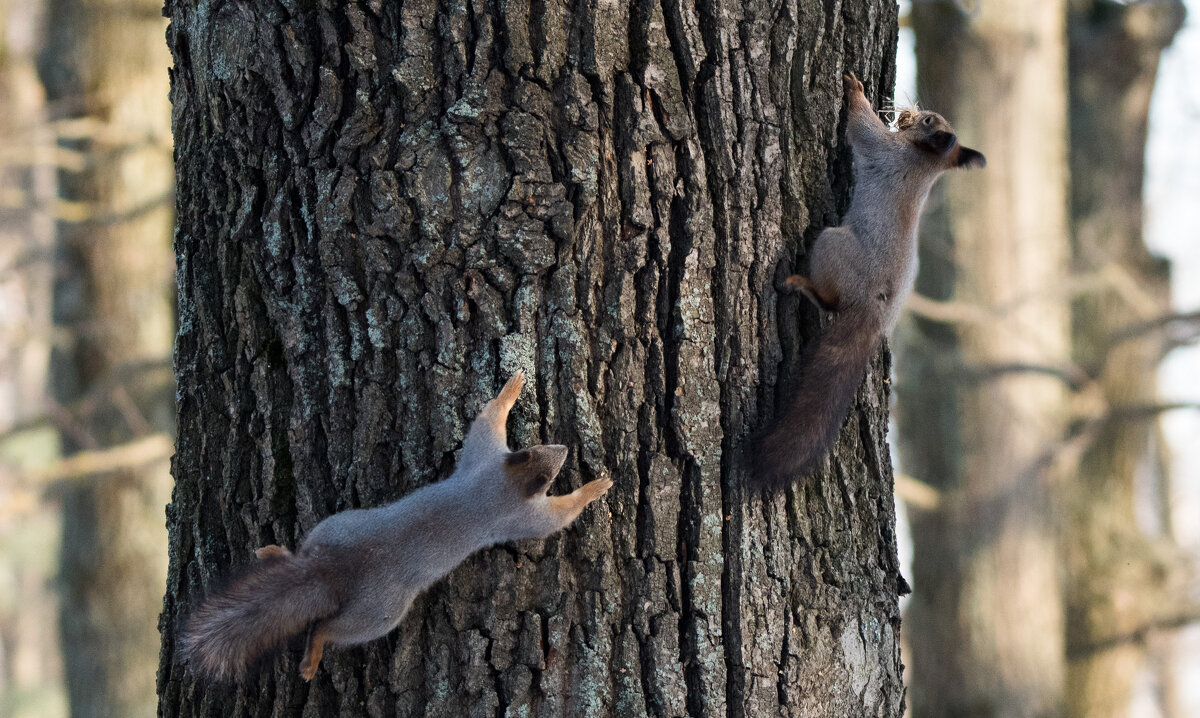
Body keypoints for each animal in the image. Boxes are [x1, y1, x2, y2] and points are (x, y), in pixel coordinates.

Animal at [182, 374, 614, 681]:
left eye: (544, 450)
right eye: (552, 463)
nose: (565, 449)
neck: (503, 482)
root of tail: (334, 568)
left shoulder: (484, 458)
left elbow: (485, 424)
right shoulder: (519, 511)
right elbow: (555, 517)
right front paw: (593, 488)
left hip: (333, 526)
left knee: (301, 551)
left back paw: (273, 552)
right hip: (380, 613)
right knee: (328, 629)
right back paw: (312, 656)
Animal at [744, 71, 988, 489]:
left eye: (927, 122)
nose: (908, 112)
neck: (926, 162)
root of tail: (873, 311)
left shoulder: (883, 149)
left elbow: (861, 126)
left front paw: (854, 90)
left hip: (832, 244)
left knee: (829, 299)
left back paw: (804, 286)